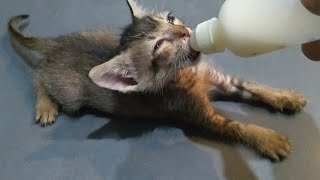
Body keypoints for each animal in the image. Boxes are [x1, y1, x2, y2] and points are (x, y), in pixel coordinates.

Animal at [8, 0, 306, 162]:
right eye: (159, 46)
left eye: (171, 19)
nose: (185, 31)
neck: (189, 73)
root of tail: (59, 43)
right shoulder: (200, 115)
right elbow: (238, 127)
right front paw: (268, 139)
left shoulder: (225, 81)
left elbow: (255, 88)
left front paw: (284, 96)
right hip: (70, 94)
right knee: (40, 73)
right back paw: (45, 106)